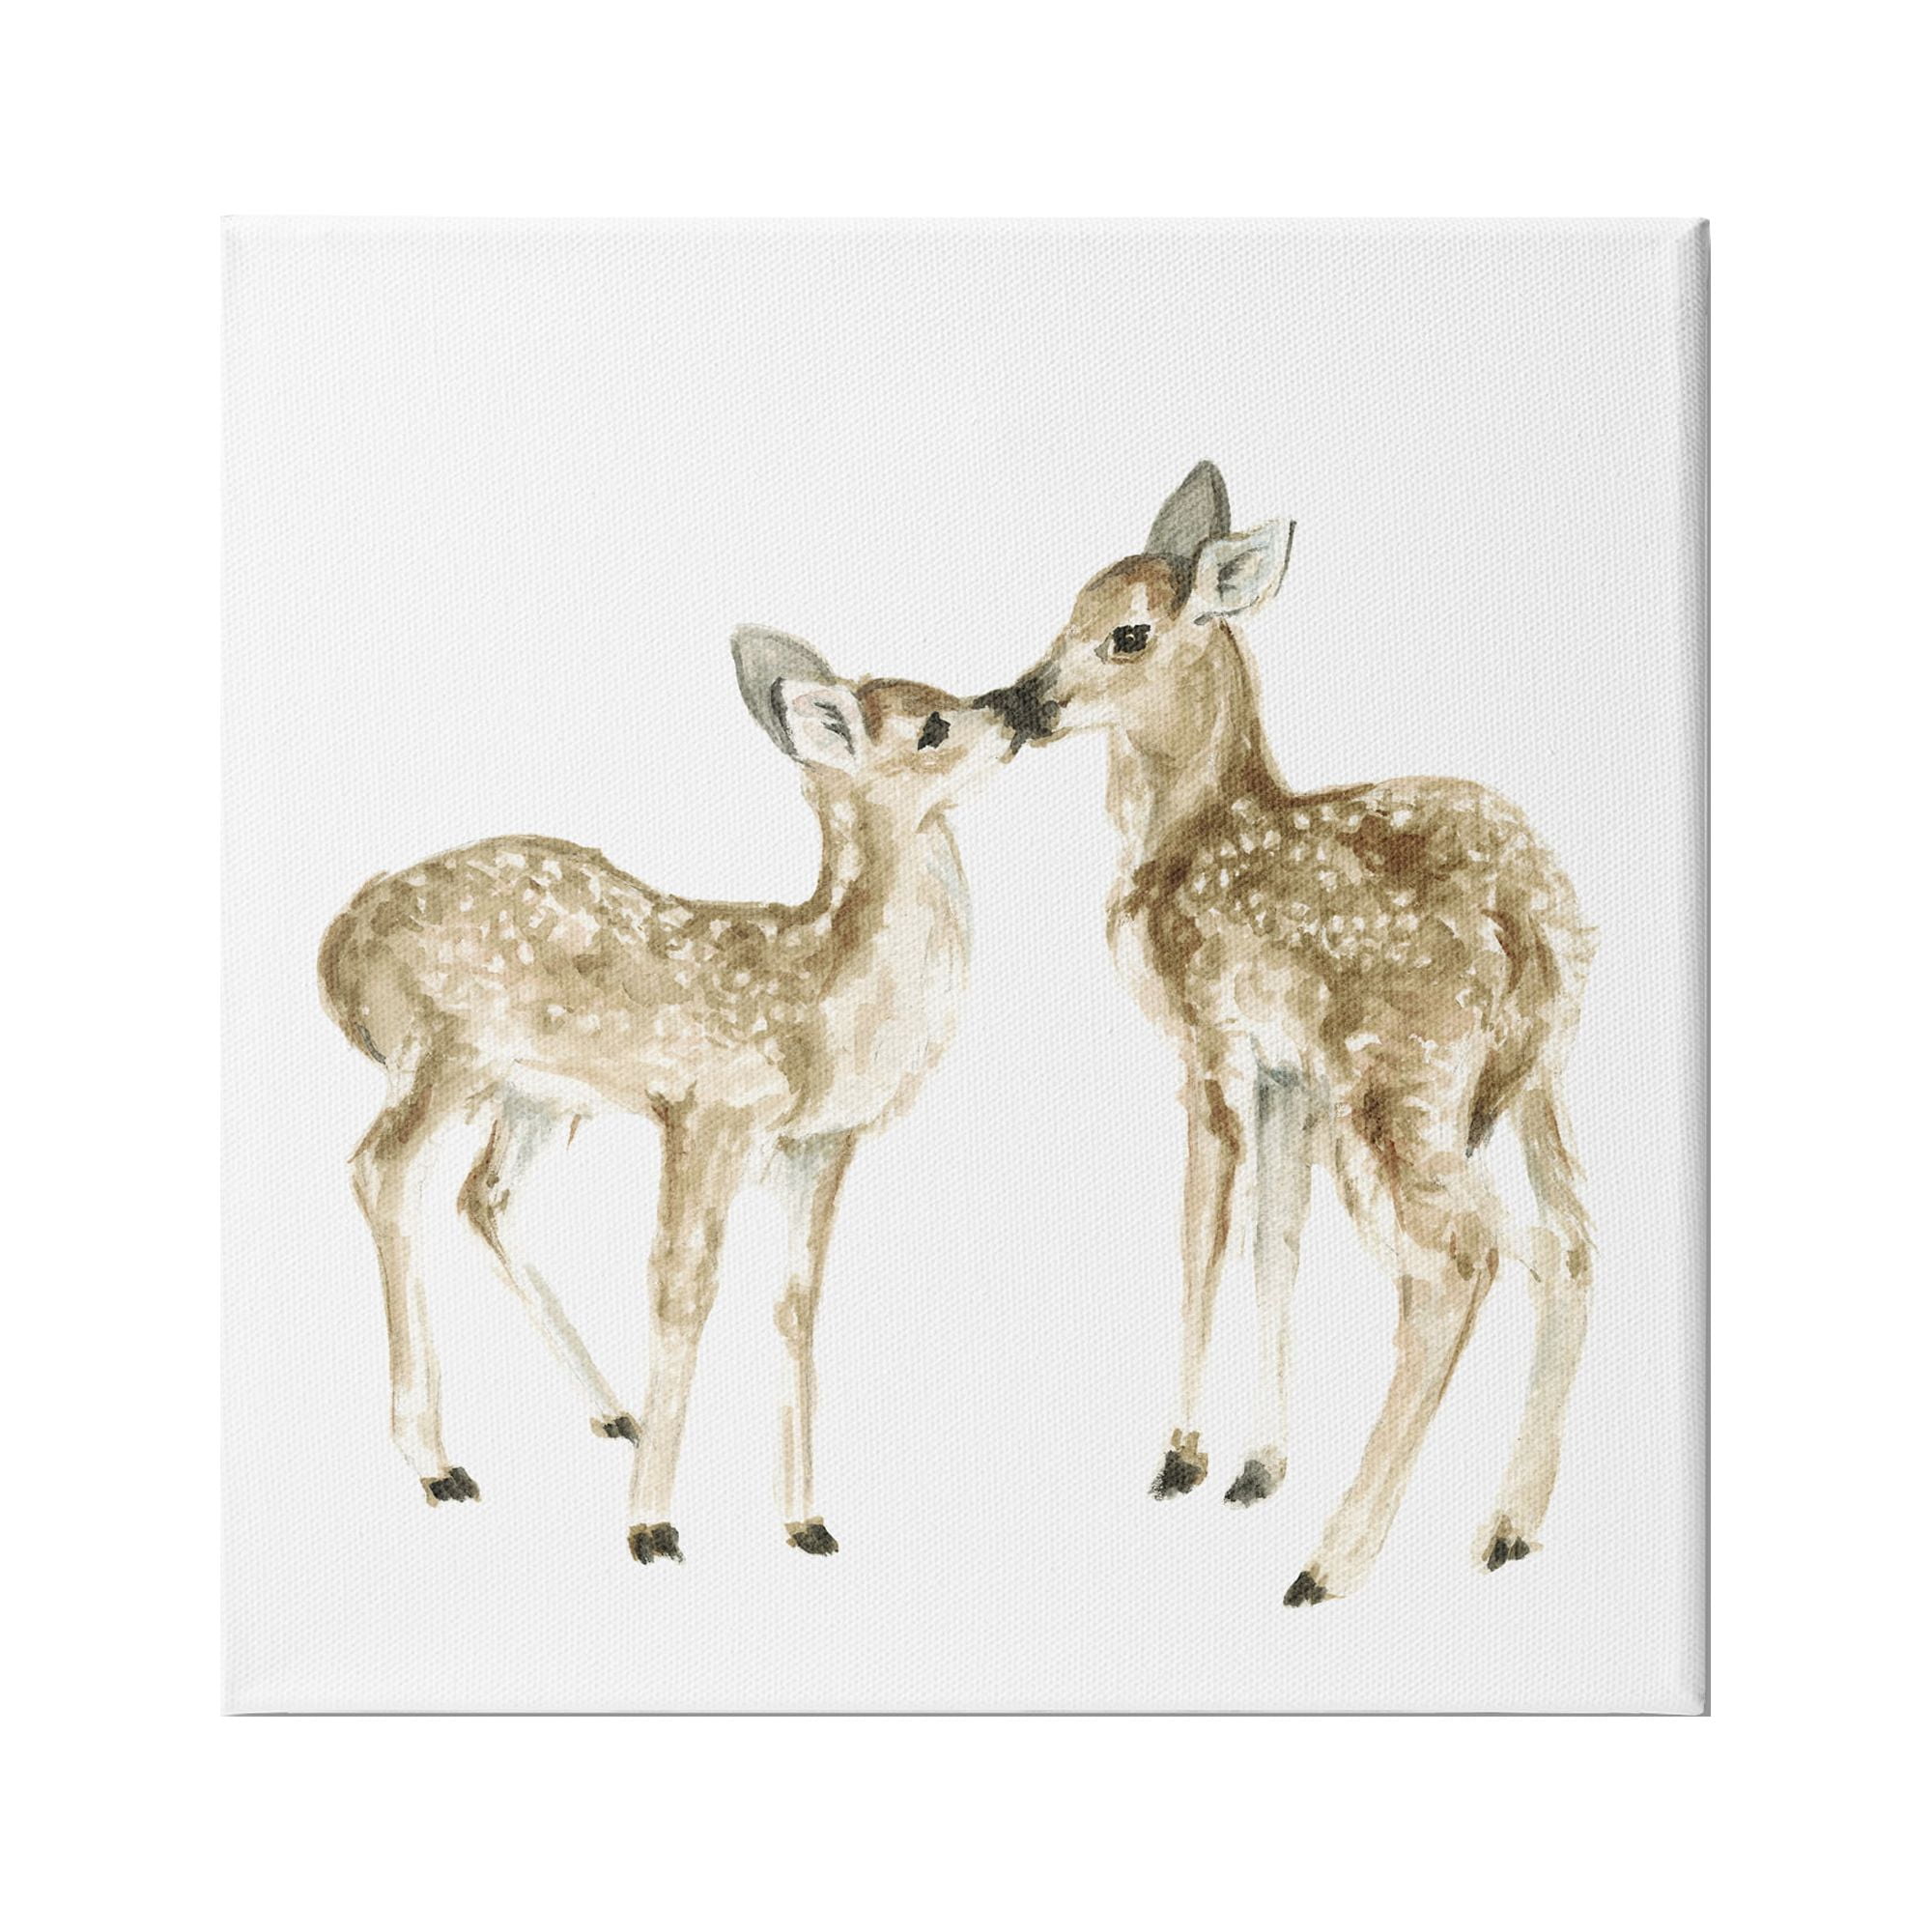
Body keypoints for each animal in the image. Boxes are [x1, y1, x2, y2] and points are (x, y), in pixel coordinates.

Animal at [318, 626, 1012, 1566]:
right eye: (933, 726)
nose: (1020, 706)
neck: (821, 1010)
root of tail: (340, 950)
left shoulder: (820, 1144)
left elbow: (796, 1304)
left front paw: (805, 1521)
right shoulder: (706, 1112)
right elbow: (682, 1287)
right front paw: (650, 1526)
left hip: (535, 1098)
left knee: (483, 1197)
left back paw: (615, 1415)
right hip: (445, 1053)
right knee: (381, 1170)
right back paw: (439, 1463)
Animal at [979, 463, 1595, 1604]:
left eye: (1126, 633)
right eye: (1068, 607)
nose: (1017, 701)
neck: (1180, 834)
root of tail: (1534, 924)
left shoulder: (1207, 1042)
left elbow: (1202, 1234)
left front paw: (1181, 1455)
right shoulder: (1286, 1076)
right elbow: (1276, 1240)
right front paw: (1257, 1465)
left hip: (1395, 1083)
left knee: (1459, 1264)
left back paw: (1332, 1560)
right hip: (1532, 1082)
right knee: (1563, 1244)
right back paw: (1504, 1529)